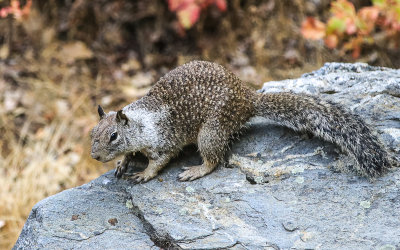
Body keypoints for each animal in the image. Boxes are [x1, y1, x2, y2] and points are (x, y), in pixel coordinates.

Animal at [89, 60, 392, 182]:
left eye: (113, 136)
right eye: (92, 133)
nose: (94, 156)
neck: (140, 123)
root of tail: (247, 99)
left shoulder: (163, 140)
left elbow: (161, 160)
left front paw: (144, 173)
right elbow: (131, 155)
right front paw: (122, 163)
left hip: (211, 130)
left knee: (214, 159)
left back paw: (196, 170)